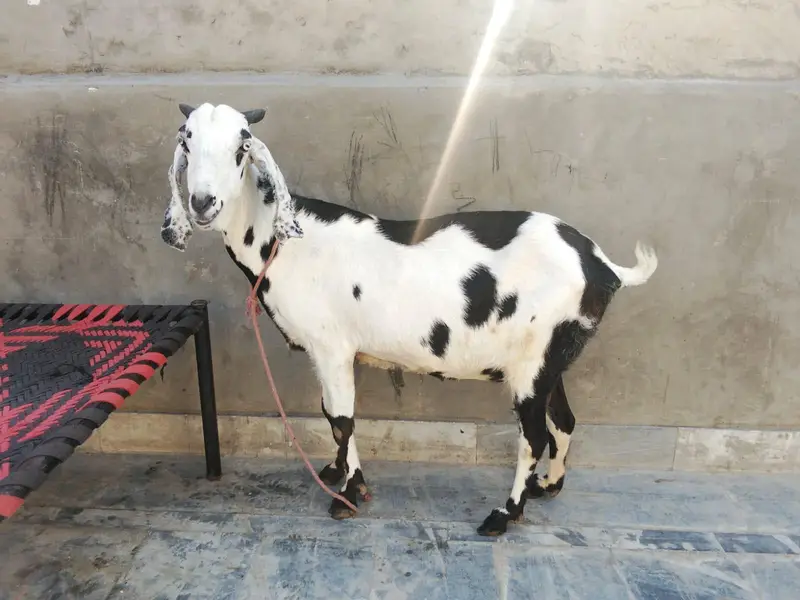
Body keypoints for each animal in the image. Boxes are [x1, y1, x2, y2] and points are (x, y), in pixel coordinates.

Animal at [160, 102, 658, 536]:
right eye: (187, 140)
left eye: (242, 146)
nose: (202, 203)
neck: (286, 243)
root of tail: (600, 263)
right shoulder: (327, 352)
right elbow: (328, 412)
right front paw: (336, 471)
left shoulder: (332, 345)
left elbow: (342, 419)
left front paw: (350, 494)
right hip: (553, 356)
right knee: (564, 420)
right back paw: (547, 486)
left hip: (533, 362)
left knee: (533, 435)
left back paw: (504, 514)